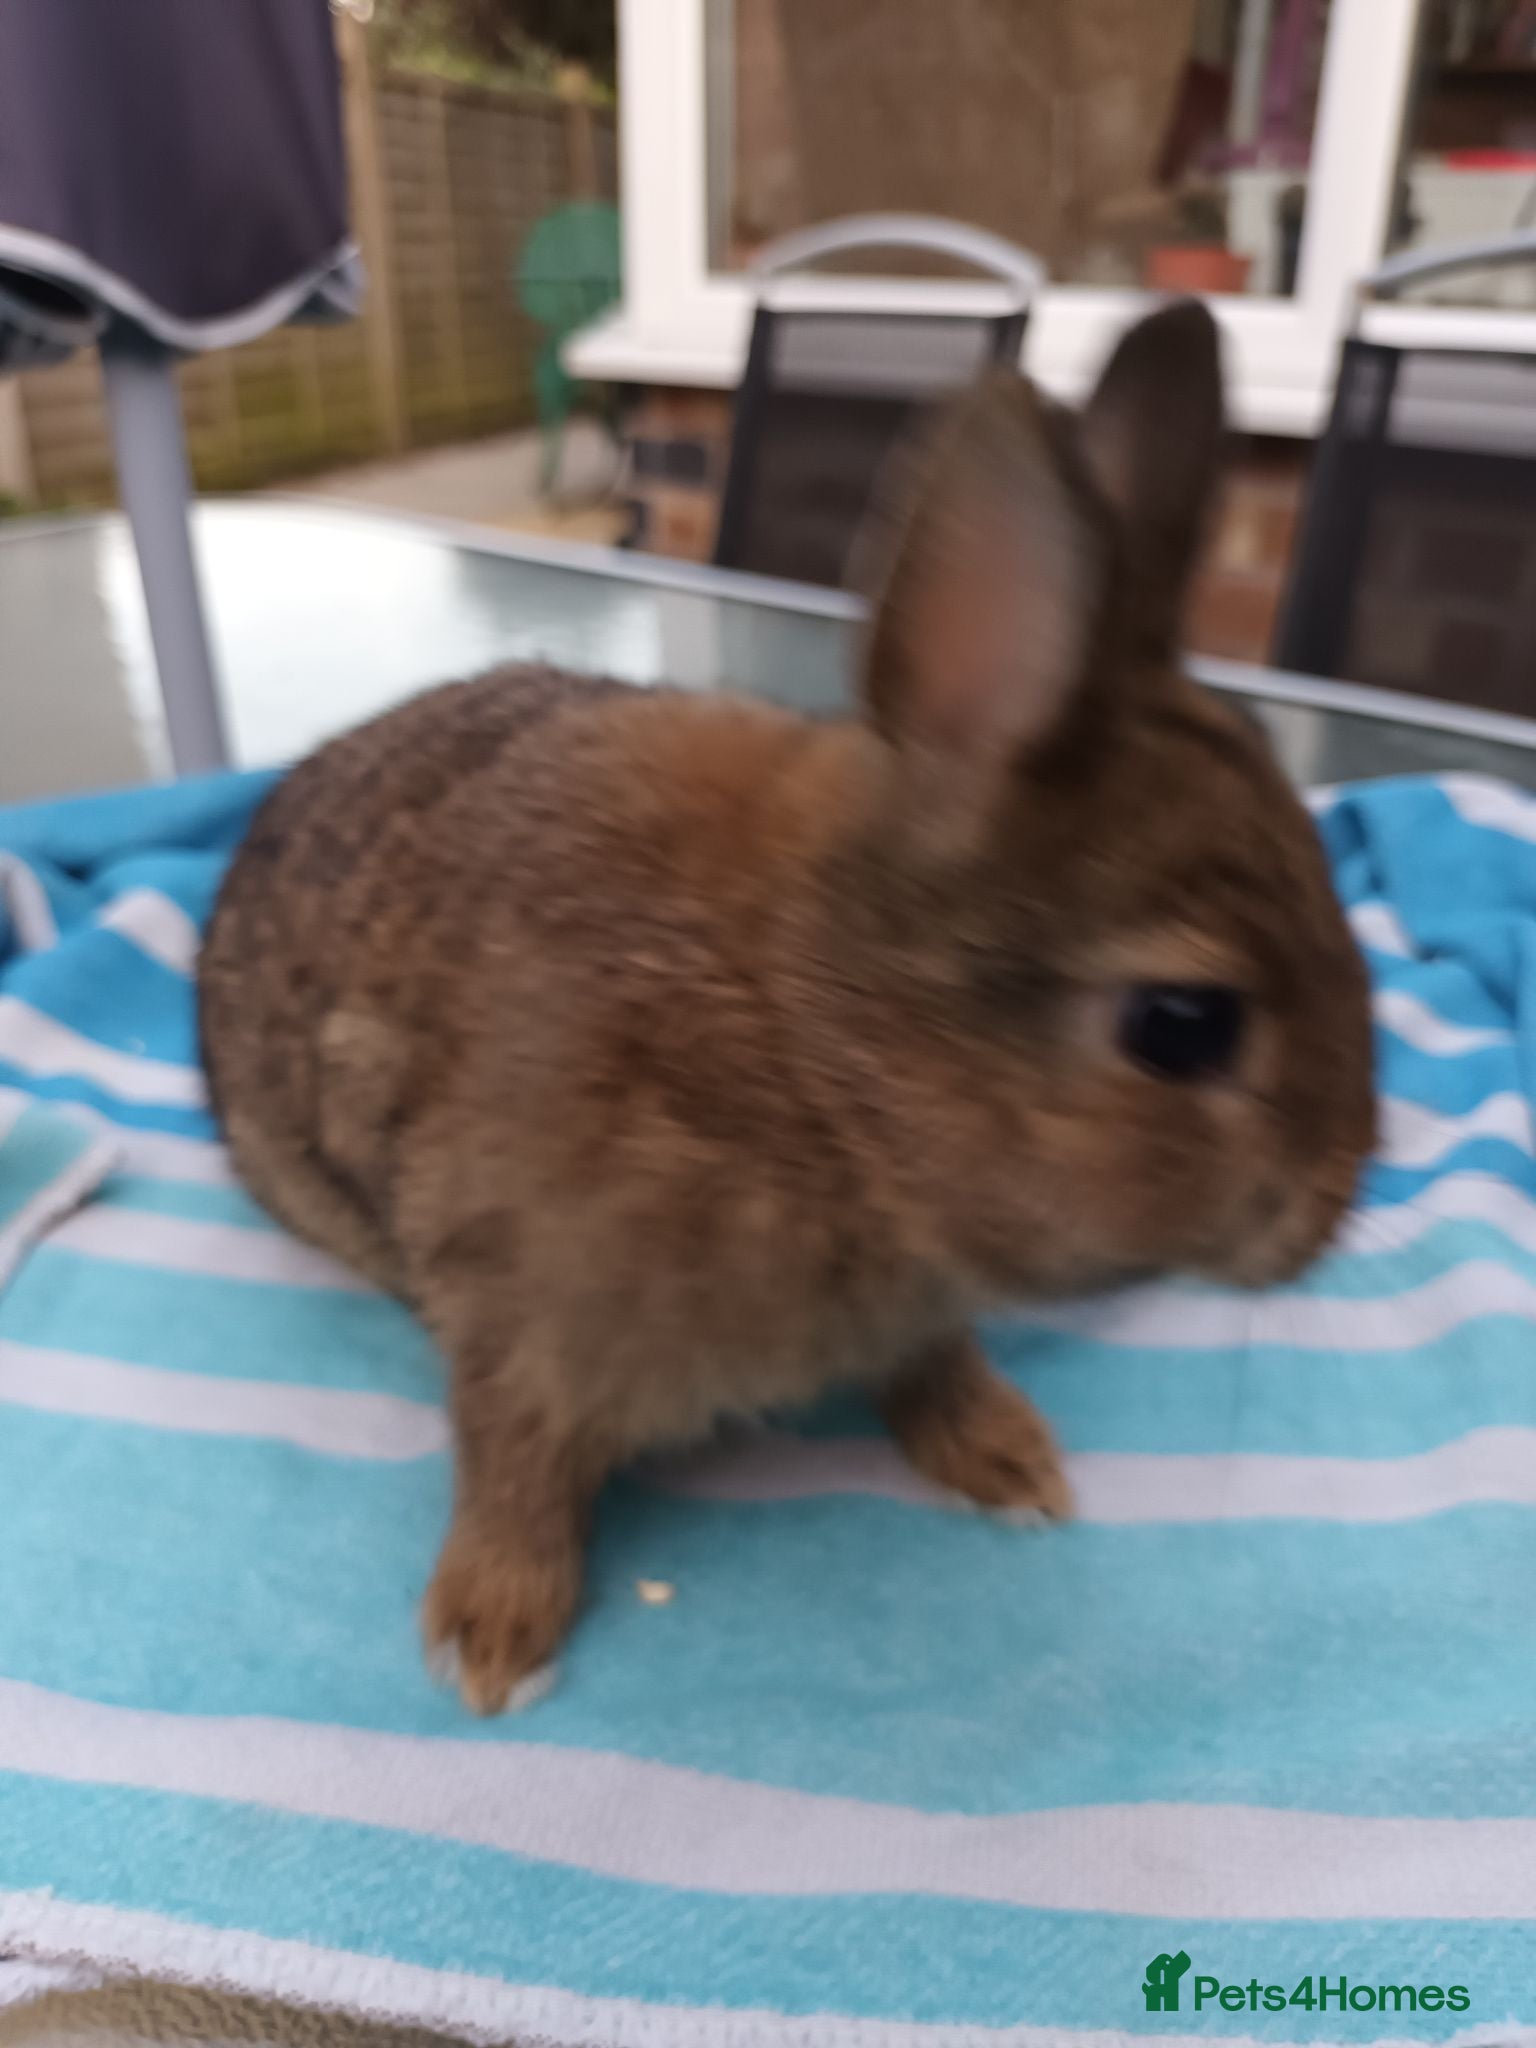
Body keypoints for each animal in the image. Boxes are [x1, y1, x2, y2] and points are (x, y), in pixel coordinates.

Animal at [199, 300, 1376, 1713]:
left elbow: (933, 1361)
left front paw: (1007, 1460)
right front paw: (490, 1638)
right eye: (1184, 1023)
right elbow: (510, 1460)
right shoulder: (517, 1308)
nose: (1330, 1211)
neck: (813, 1050)